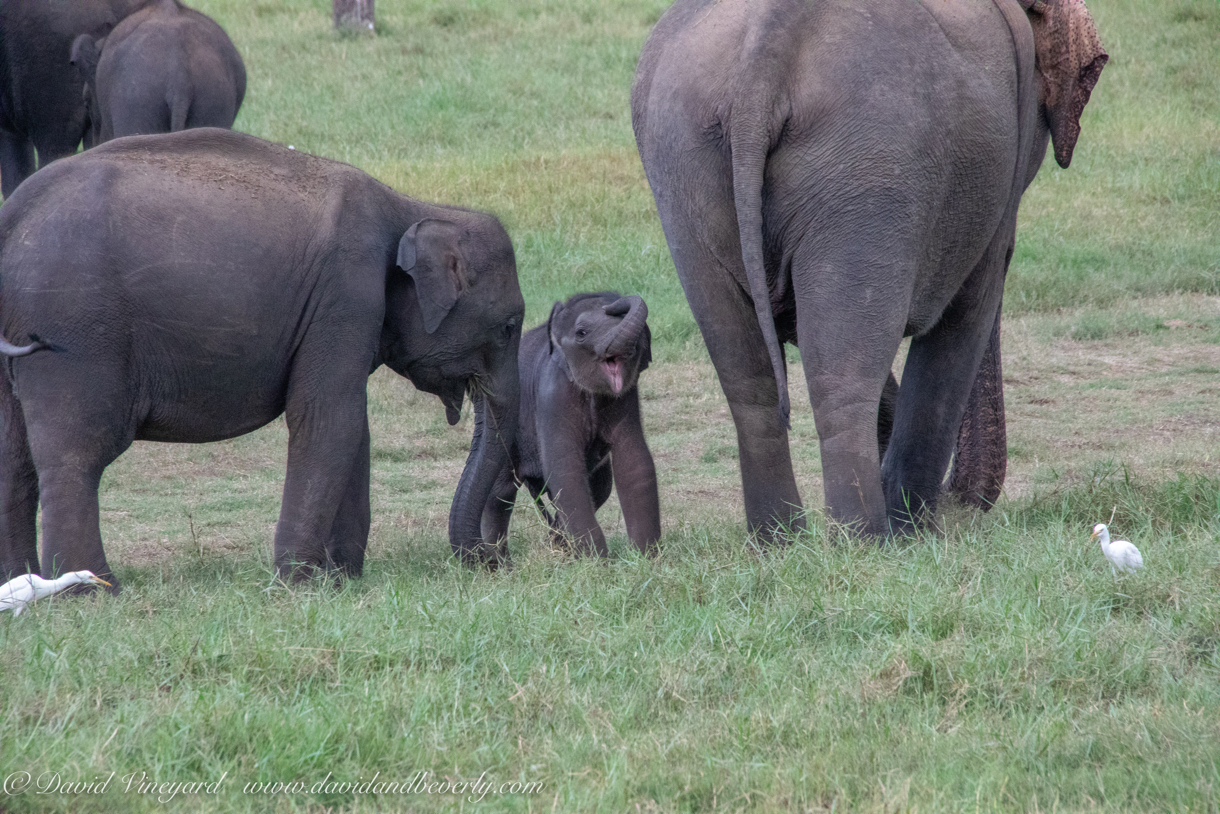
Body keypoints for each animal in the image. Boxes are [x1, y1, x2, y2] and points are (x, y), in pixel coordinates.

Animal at [0, 128, 524, 593]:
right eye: (509, 326)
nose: (498, 560)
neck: (414, 207)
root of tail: (13, 215)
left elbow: (352, 429)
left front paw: (343, 581)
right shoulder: (344, 296)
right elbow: (330, 419)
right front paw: (298, 586)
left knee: (14, 459)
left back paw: (22, 584)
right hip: (77, 330)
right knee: (78, 451)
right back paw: (94, 592)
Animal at [480, 292, 663, 561]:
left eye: (641, 336)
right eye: (581, 333)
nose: (615, 302)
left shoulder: (626, 397)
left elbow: (634, 460)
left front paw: (645, 559)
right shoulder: (552, 393)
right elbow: (564, 466)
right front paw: (597, 561)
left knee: (600, 487)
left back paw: (559, 545)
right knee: (499, 495)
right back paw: (502, 564)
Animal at [629, 0, 1107, 541]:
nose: (958, 505)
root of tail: (763, 60)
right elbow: (969, 306)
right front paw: (915, 532)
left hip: (682, 166)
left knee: (748, 377)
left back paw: (782, 543)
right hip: (870, 169)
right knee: (843, 375)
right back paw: (863, 542)